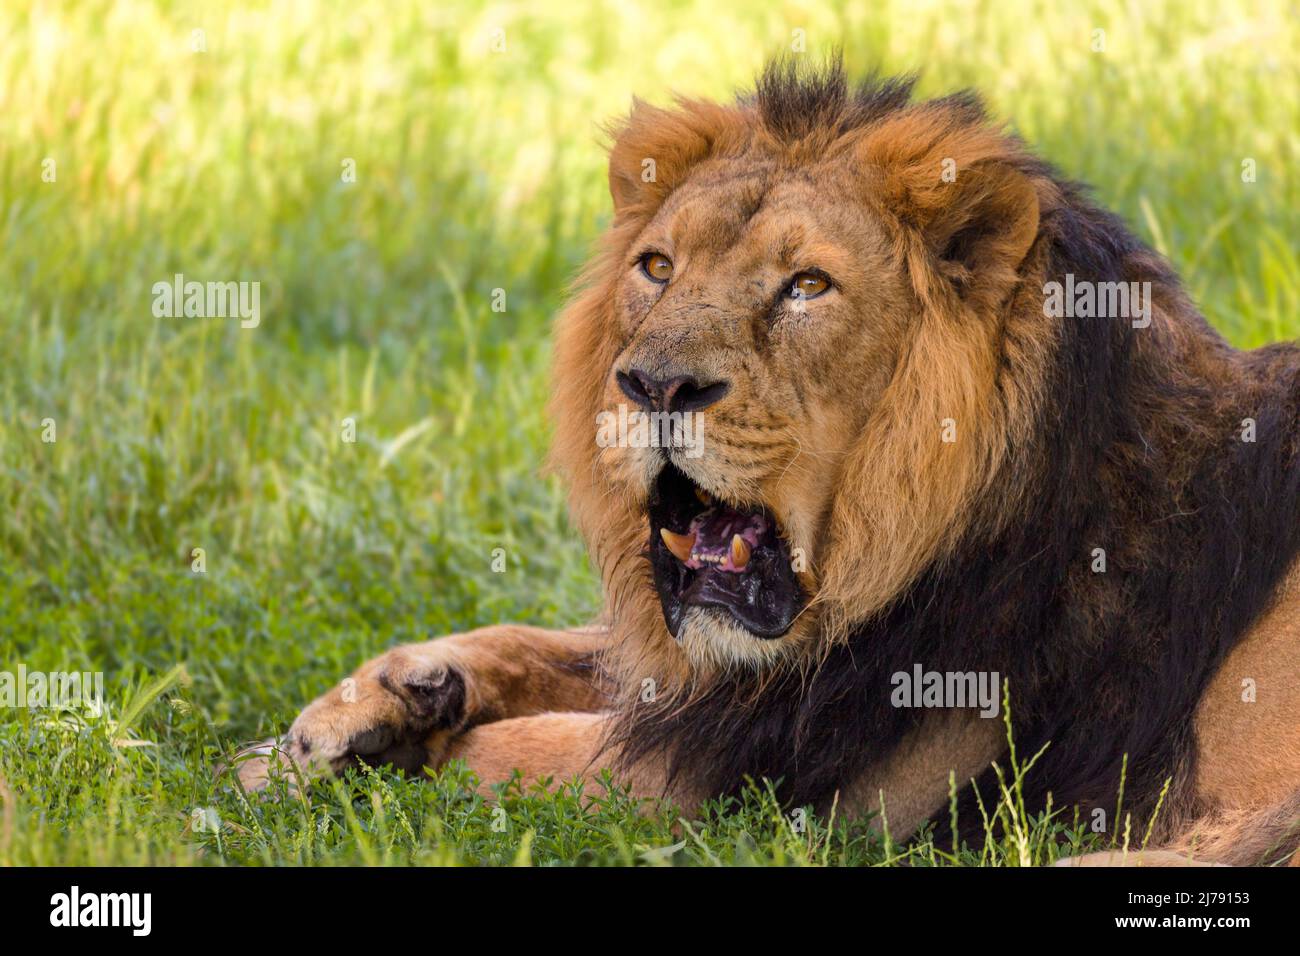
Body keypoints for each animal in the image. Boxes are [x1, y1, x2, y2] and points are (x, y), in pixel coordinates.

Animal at [233, 59, 1300, 868]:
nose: (655, 385)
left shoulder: (776, 790)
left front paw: (345, 763)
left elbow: (507, 759)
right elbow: (546, 643)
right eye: (658, 267)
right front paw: (349, 715)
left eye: (807, 287)